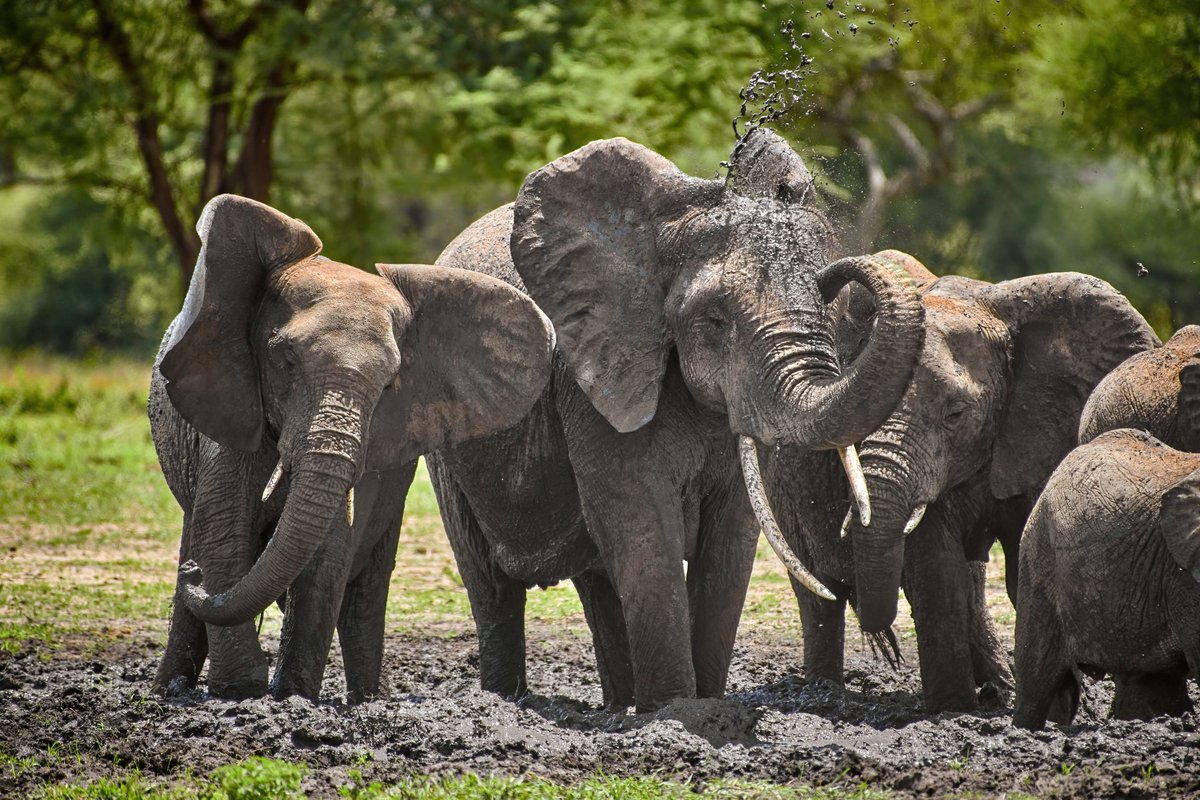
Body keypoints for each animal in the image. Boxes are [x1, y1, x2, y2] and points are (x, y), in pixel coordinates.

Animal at [148, 191, 552, 700]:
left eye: (390, 384)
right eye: (285, 360)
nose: (192, 575)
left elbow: (326, 552)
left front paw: (290, 696)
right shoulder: (229, 399)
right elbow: (223, 529)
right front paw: (241, 690)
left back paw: (363, 699)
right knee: (198, 530)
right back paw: (169, 688)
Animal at [432, 131, 926, 714]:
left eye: (828, 308)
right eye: (714, 322)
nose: (841, 269)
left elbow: (729, 541)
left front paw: (703, 708)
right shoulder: (594, 371)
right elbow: (642, 523)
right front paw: (673, 713)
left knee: (596, 578)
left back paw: (618, 708)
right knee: (489, 582)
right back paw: (506, 703)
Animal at [763, 253, 1156, 710]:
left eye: (955, 413)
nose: (822, 285)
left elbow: (1024, 564)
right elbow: (936, 573)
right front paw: (953, 711)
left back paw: (999, 690)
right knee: (818, 597)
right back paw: (823, 692)